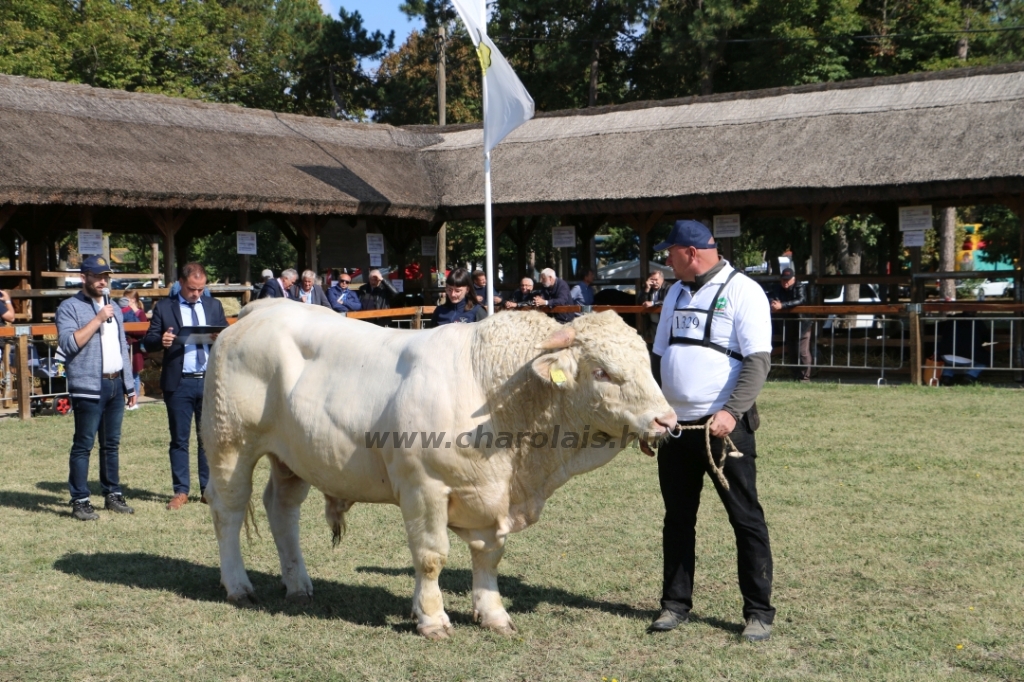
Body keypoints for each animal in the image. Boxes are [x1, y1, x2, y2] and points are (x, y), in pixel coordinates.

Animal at [202, 301, 675, 634]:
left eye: (646, 363)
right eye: (603, 371)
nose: (667, 420)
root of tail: (259, 310)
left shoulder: (490, 496)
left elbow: (489, 557)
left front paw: (493, 614)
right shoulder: (423, 487)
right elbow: (431, 556)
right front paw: (431, 619)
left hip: (293, 457)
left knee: (282, 510)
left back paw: (298, 584)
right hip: (230, 444)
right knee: (228, 509)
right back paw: (238, 586)